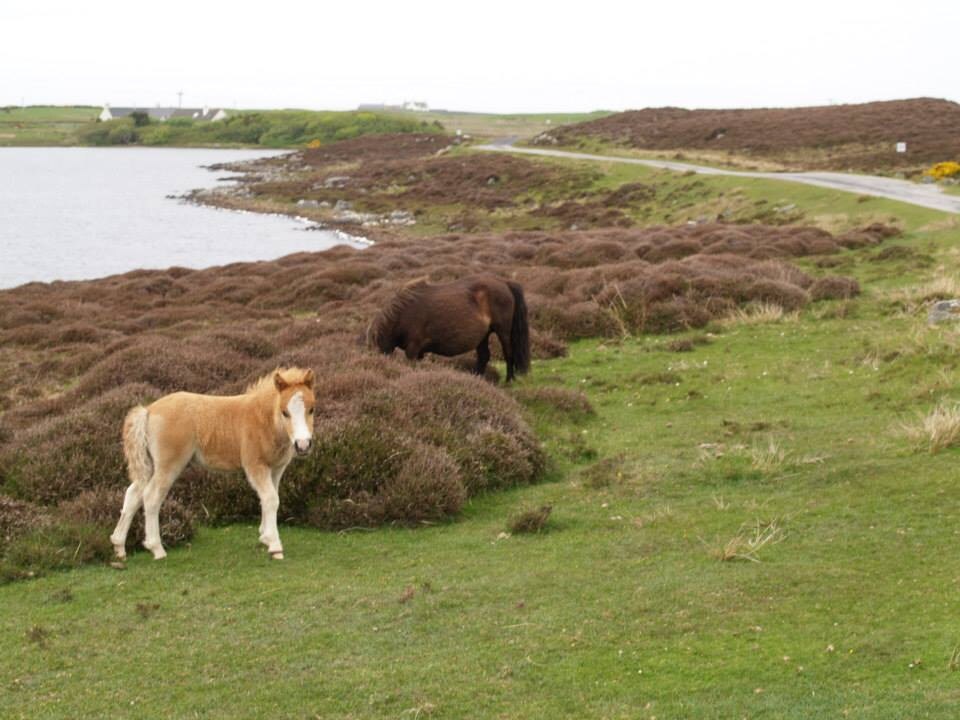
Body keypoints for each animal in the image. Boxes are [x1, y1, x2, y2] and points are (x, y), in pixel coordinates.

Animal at [110, 368, 316, 560]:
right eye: (285, 412)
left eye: (311, 409)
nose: (303, 445)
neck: (264, 420)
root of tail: (149, 410)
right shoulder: (255, 466)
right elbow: (271, 499)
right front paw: (274, 546)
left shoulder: (276, 468)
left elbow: (269, 498)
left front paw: (265, 537)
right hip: (168, 465)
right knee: (151, 496)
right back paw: (157, 549)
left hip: (150, 465)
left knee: (133, 494)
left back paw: (119, 547)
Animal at [370, 272, 532, 380]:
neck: (403, 314)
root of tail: (504, 282)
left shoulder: (413, 349)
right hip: (483, 335)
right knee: (484, 357)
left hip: (503, 331)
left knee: (508, 353)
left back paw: (509, 380)